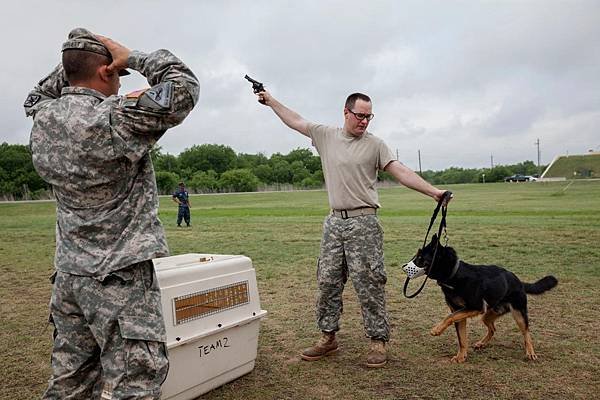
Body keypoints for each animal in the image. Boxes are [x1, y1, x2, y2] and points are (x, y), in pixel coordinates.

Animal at [414, 234, 560, 362]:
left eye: (420, 257)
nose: (407, 264)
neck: (454, 274)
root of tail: (519, 281)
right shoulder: (460, 312)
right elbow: (462, 338)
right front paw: (461, 357)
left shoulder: (474, 307)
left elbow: (449, 317)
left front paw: (437, 329)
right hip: (488, 315)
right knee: (493, 328)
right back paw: (481, 343)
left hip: (518, 314)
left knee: (526, 332)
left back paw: (530, 352)